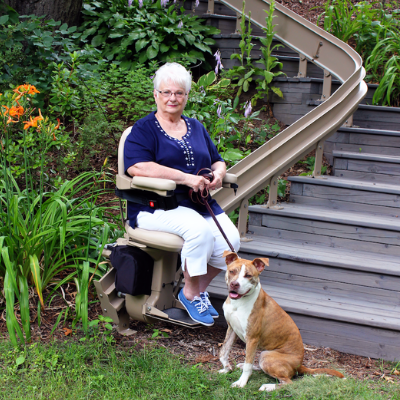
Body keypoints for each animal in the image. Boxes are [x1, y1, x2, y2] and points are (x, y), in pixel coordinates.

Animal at [219, 252, 344, 392]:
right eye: (232, 271)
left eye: (248, 275)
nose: (235, 284)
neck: (238, 303)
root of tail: (300, 365)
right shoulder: (231, 328)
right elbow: (224, 351)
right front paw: (226, 368)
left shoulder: (252, 338)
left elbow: (248, 364)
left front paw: (241, 382)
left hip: (267, 356)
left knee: (288, 382)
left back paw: (268, 386)